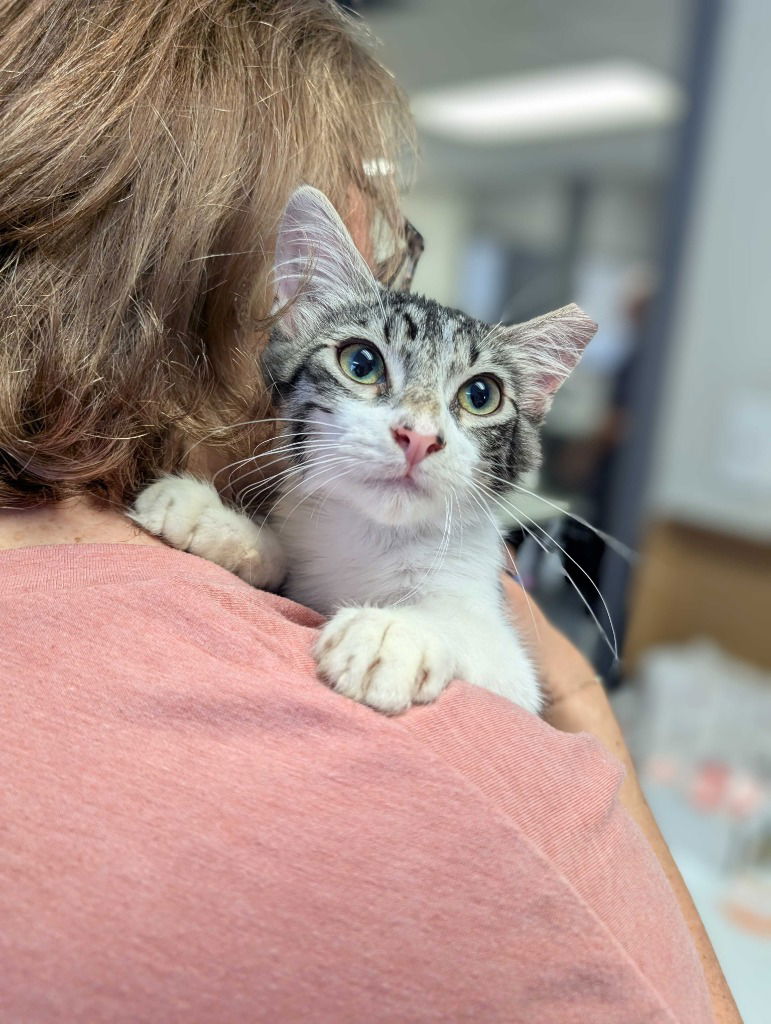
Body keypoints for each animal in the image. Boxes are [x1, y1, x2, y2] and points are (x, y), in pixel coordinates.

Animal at [132, 186, 593, 712]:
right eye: (362, 363)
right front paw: (215, 520)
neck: (375, 538)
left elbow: (478, 638)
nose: (419, 437)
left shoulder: (517, 676)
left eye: (481, 395)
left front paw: (394, 632)